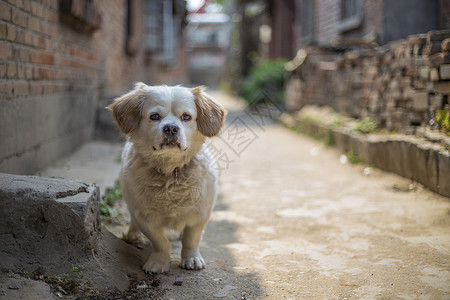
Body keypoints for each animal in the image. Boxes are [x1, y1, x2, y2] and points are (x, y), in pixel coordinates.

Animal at [105, 83, 225, 274]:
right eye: (155, 116)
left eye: (186, 116)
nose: (170, 128)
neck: (170, 171)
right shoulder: (144, 216)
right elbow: (160, 242)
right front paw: (158, 263)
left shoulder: (200, 214)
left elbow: (191, 239)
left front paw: (191, 259)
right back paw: (133, 235)